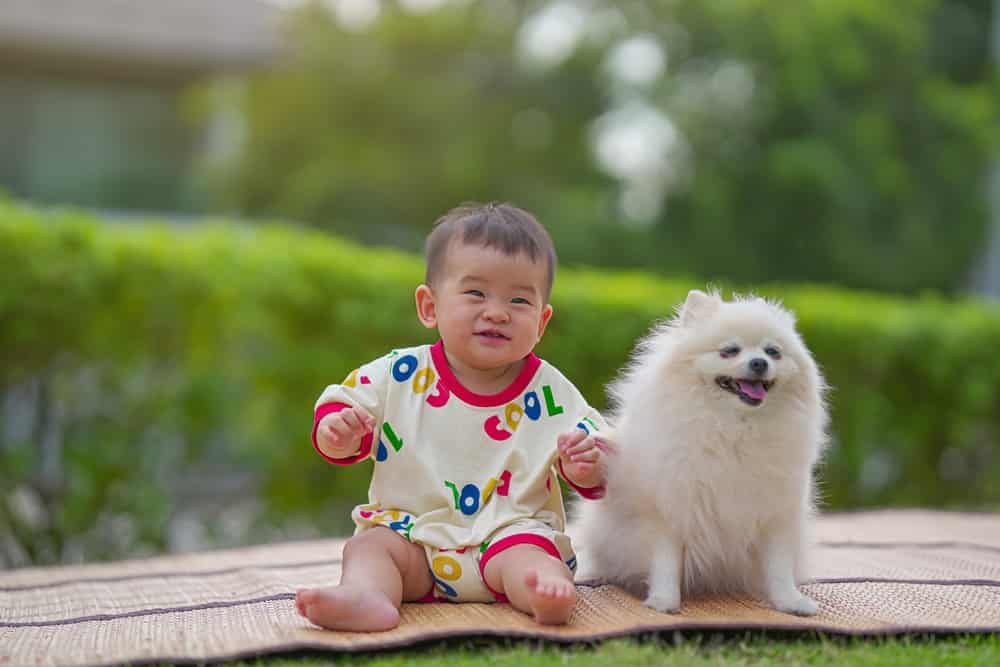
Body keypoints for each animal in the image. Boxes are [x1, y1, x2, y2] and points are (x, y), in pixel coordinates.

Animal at [572, 290, 828, 620]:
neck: (735, 428)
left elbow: (779, 566)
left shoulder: (777, 513)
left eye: (773, 352)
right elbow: (666, 561)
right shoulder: (669, 510)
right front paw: (664, 601)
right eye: (729, 351)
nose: (759, 362)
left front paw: (790, 602)